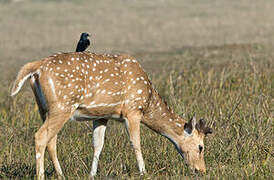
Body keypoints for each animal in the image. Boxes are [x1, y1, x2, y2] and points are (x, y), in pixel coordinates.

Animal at [10, 51, 212, 179]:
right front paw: (143, 172)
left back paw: (61, 175)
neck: (148, 101)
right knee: (40, 136)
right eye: (201, 147)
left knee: (51, 140)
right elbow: (136, 142)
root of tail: (36, 67)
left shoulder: (102, 116)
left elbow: (97, 145)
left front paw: (92, 174)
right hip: (62, 105)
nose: (201, 170)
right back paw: (41, 176)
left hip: (44, 108)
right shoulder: (132, 110)